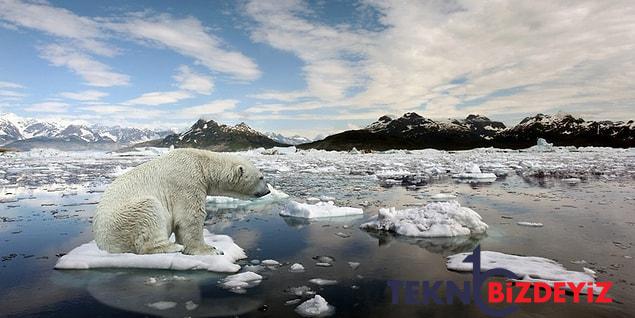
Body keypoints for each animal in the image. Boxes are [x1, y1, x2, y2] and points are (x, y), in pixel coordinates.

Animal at [90, 149, 270, 256]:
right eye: (261, 177)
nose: (268, 191)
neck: (201, 163)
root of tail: (102, 245)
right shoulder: (187, 182)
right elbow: (190, 217)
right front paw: (211, 249)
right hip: (124, 219)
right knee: (149, 212)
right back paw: (171, 247)